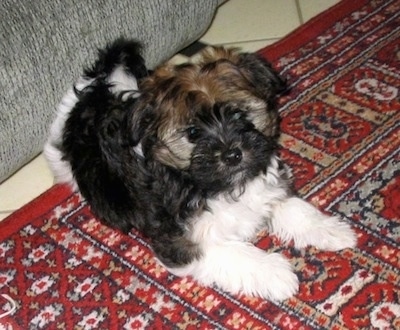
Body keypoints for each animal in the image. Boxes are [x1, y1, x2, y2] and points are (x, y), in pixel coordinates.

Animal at [44, 38, 356, 302]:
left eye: (239, 114)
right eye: (193, 133)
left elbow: (291, 206)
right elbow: (228, 251)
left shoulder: (266, 186)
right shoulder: (179, 241)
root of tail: (93, 92)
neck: (216, 185)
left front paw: (330, 230)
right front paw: (275, 273)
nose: (233, 154)